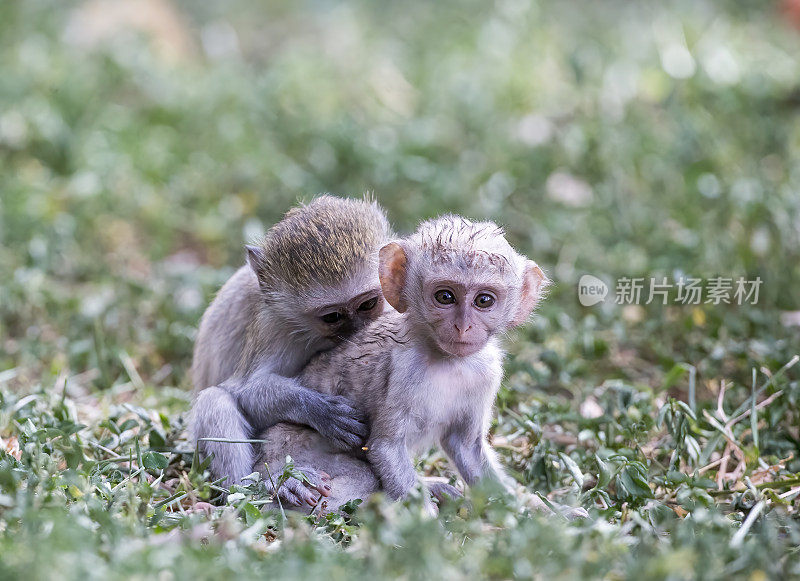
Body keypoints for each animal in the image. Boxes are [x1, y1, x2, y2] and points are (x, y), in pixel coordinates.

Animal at [256, 215, 588, 516]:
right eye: (445, 296)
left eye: (483, 300)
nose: (463, 326)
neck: (448, 361)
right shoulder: (405, 370)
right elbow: (386, 448)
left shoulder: (487, 372)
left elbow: (466, 448)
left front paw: (544, 513)